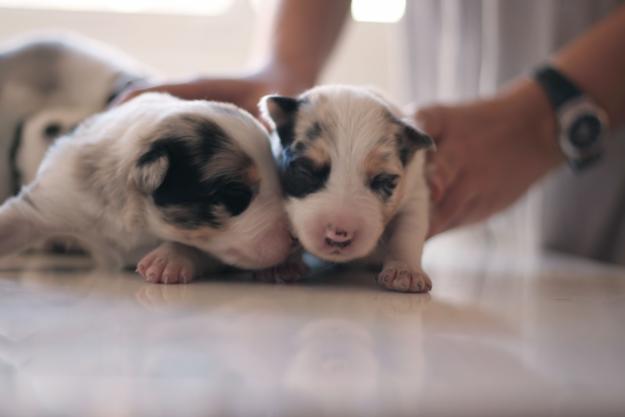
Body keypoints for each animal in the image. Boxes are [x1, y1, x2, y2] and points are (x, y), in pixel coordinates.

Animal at [260, 85, 434, 292]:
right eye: (305, 171)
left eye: (382, 181)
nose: (339, 235)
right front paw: (284, 264)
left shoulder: (414, 194)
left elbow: (408, 232)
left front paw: (405, 272)